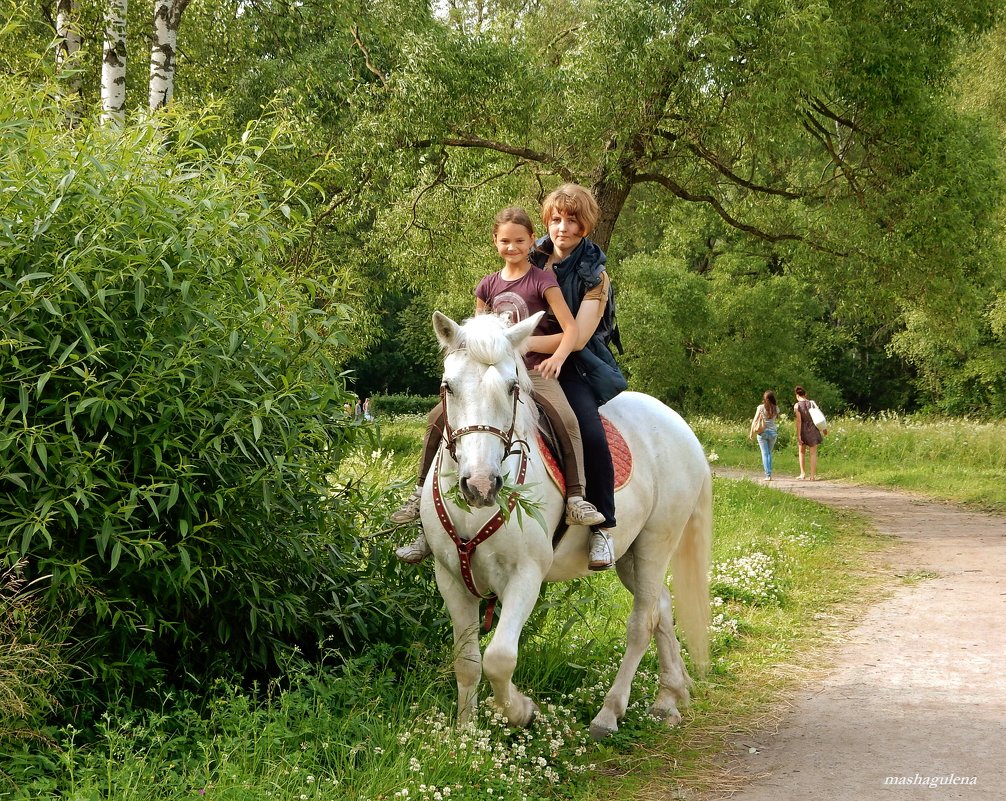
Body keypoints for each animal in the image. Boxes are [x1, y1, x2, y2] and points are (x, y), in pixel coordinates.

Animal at [424, 311, 716, 736]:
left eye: (512, 387)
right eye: (448, 387)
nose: (480, 485)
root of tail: (682, 428)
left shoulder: (526, 576)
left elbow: (499, 658)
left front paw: (523, 711)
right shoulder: (450, 578)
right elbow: (467, 662)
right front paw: (465, 733)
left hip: (656, 542)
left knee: (642, 622)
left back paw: (609, 713)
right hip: (630, 554)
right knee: (661, 607)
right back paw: (668, 699)